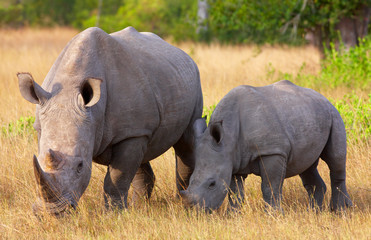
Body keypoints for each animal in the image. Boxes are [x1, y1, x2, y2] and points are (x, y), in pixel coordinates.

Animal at [17, 26, 203, 216]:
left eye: (80, 166)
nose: (52, 213)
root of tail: (183, 54)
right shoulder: (42, 127)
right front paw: (124, 212)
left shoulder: (131, 133)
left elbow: (116, 178)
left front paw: (114, 215)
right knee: (142, 158)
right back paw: (139, 207)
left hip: (193, 82)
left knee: (185, 144)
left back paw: (183, 204)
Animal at [183, 81, 354, 212]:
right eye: (190, 180)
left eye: (212, 184)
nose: (195, 212)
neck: (228, 137)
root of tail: (324, 97)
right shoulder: (232, 159)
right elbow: (235, 192)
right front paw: (232, 215)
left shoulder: (272, 152)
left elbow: (270, 187)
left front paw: (274, 215)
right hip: (310, 115)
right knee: (307, 166)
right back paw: (314, 212)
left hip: (334, 115)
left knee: (335, 159)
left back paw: (340, 211)